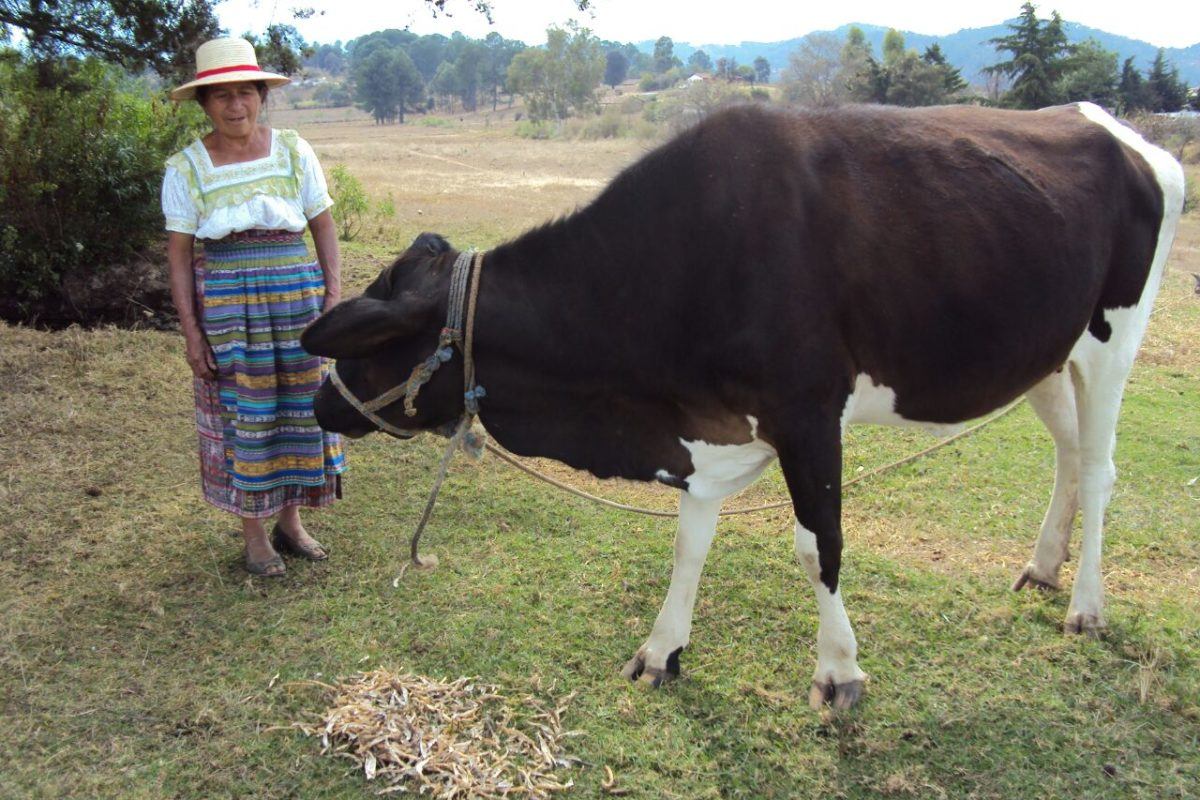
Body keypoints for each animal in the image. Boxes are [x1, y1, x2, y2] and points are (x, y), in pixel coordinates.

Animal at [300, 103, 1180, 710]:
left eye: (373, 346)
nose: (317, 402)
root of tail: (1112, 127)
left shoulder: (807, 413)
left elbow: (818, 547)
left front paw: (838, 672)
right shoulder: (706, 427)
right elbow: (689, 545)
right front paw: (661, 651)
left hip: (1113, 339)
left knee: (1100, 471)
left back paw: (1086, 606)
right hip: (1045, 354)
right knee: (1070, 457)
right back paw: (1042, 566)